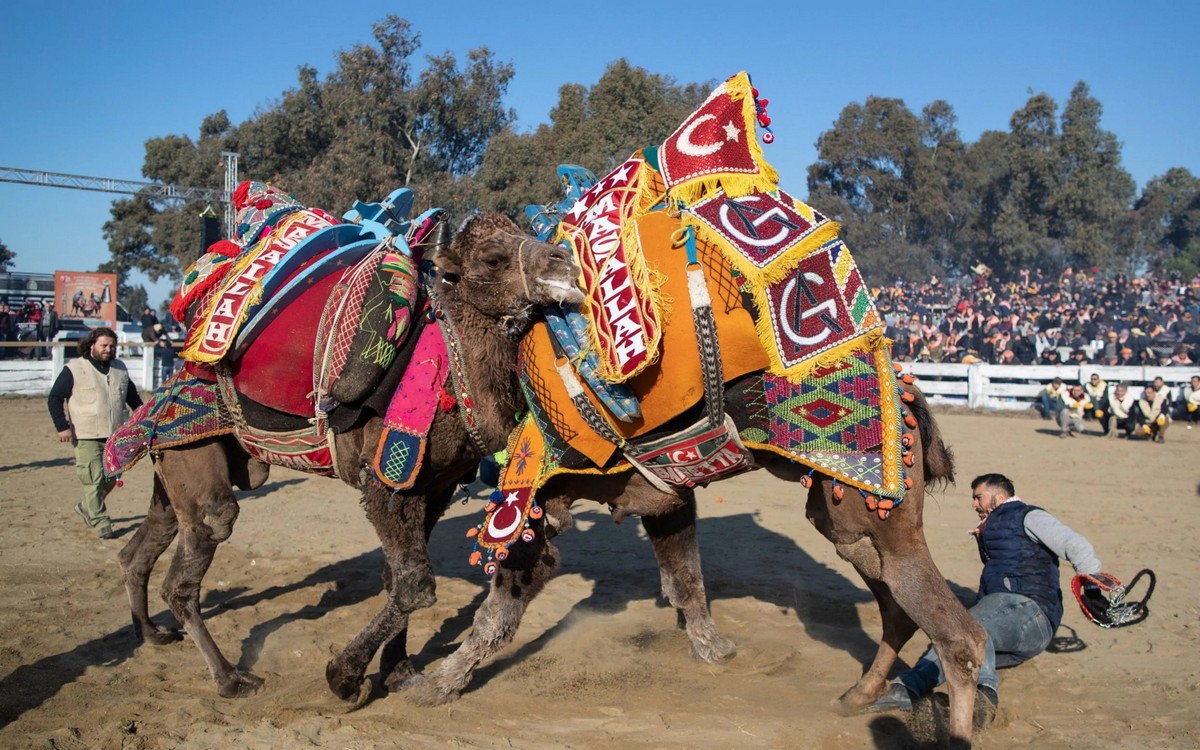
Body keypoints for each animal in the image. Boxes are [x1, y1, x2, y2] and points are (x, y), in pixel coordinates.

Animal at [114, 212, 583, 700]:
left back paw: (151, 634)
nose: (563, 260)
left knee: (141, 547)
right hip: (194, 453)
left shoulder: (433, 489)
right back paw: (230, 679)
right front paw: (345, 677)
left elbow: (395, 580)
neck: (455, 377)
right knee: (199, 547)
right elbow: (415, 586)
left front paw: (397, 670)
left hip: (172, 464)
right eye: (492, 258)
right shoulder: (383, 482)